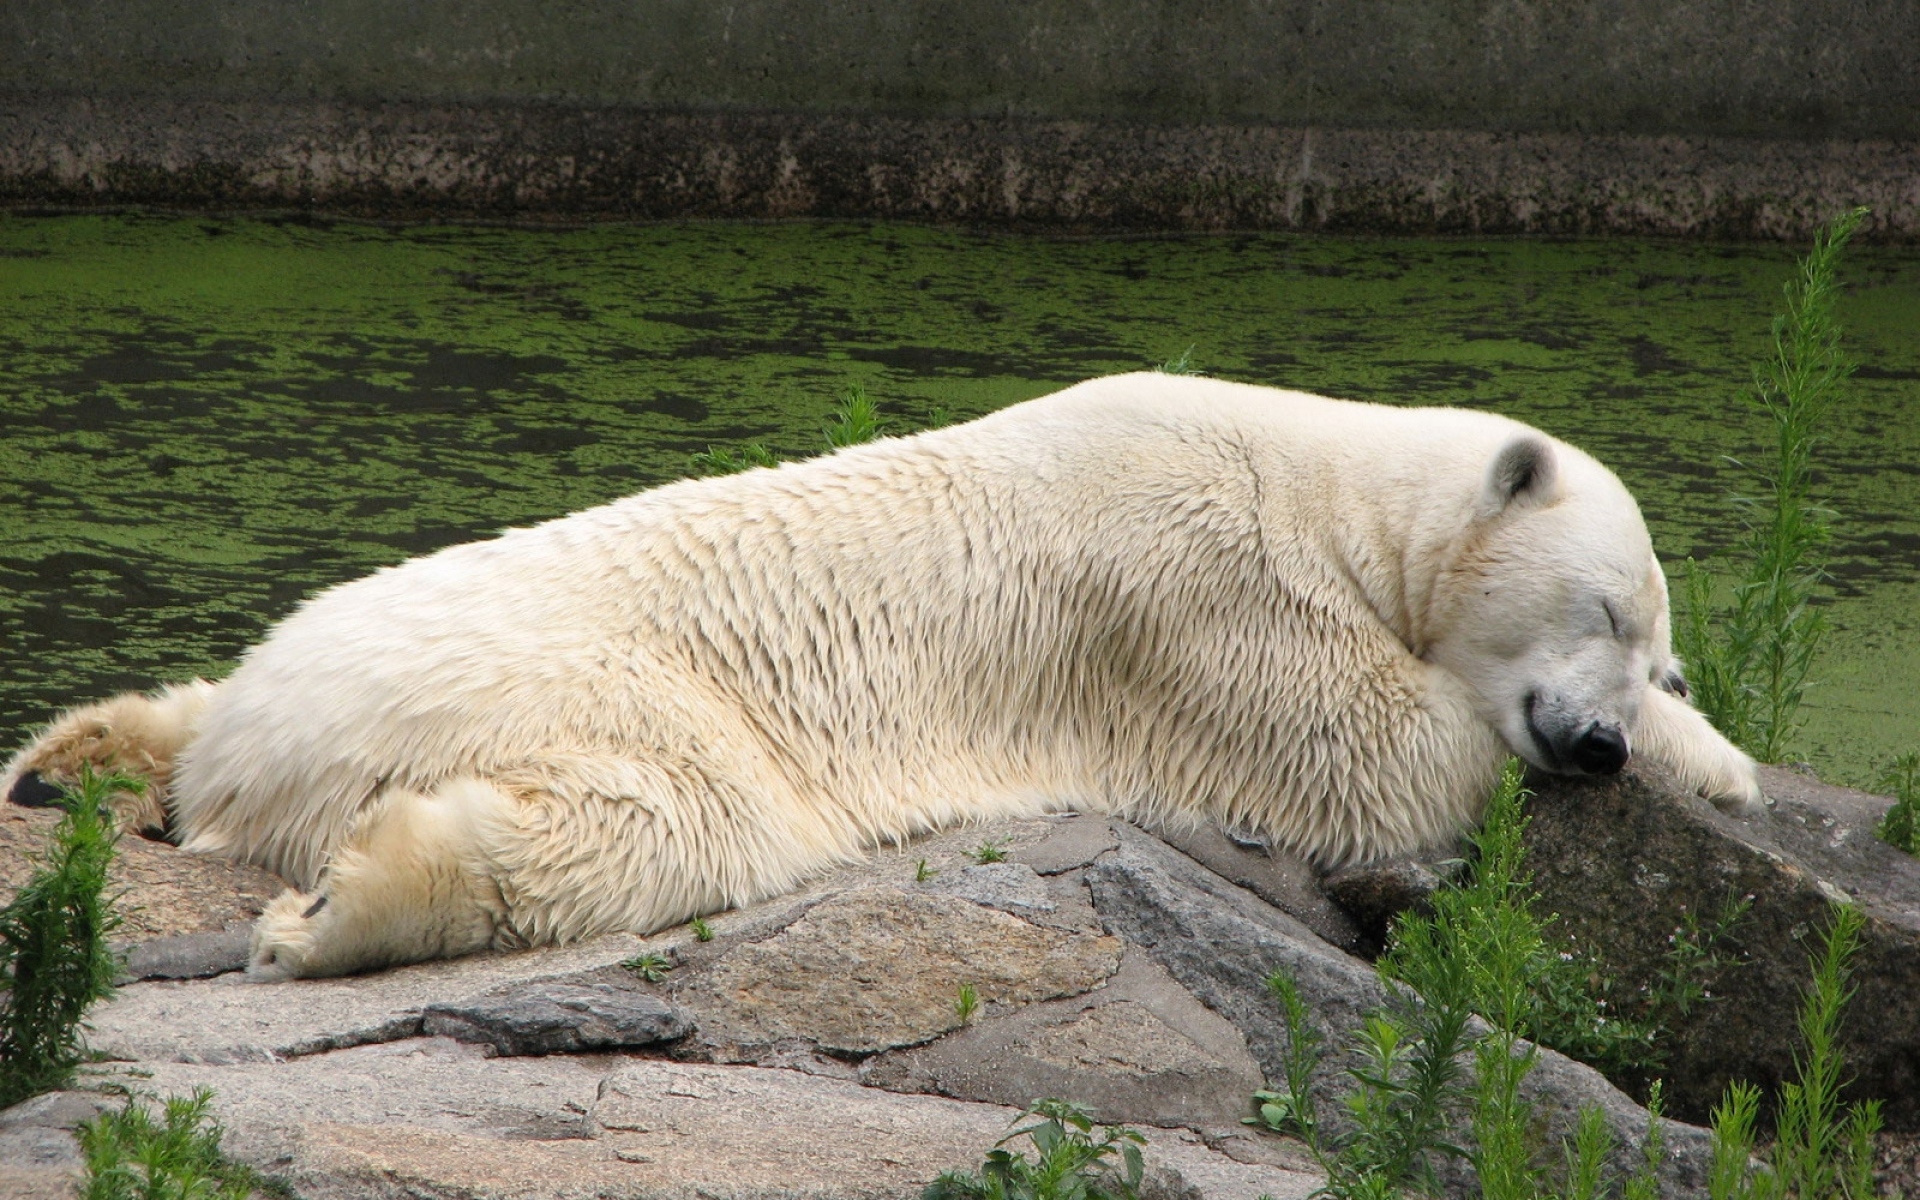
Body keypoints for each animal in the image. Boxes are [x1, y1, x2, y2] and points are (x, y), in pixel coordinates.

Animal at [2, 373, 1763, 979]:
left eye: (1658, 647)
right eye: (1605, 607)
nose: (1605, 745)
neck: (1327, 484)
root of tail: (263, 754)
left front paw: (1714, 756)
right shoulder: (1192, 594)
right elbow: (1372, 747)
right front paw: (1718, 769)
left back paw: (70, 755)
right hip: (559, 678)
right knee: (664, 818)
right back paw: (336, 908)